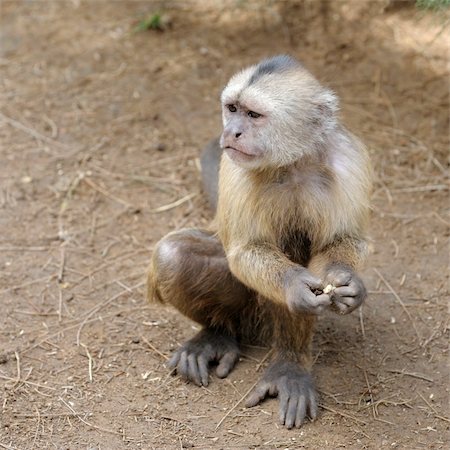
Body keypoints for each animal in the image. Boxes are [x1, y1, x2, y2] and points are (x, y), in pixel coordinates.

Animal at [148, 55, 372, 428]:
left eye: (253, 115)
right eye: (232, 109)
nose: (232, 132)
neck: (291, 161)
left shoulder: (348, 159)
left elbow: (347, 239)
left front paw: (349, 284)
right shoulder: (235, 164)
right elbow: (244, 251)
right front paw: (295, 285)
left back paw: (290, 363)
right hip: (246, 309)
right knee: (173, 255)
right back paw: (216, 333)